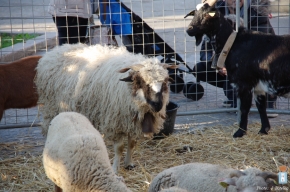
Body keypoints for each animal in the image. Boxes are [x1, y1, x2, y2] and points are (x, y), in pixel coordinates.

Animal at [36, 43, 177, 174]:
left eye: (165, 83)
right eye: (141, 82)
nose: (157, 105)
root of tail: (55, 50)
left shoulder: (132, 123)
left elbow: (131, 144)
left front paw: (129, 163)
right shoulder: (116, 124)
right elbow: (119, 148)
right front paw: (115, 168)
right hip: (52, 109)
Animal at [186, 3, 290, 138]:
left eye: (206, 15)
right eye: (194, 14)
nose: (189, 29)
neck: (232, 44)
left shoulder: (244, 83)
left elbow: (244, 109)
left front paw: (240, 132)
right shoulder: (259, 86)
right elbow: (261, 107)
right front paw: (263, 130)